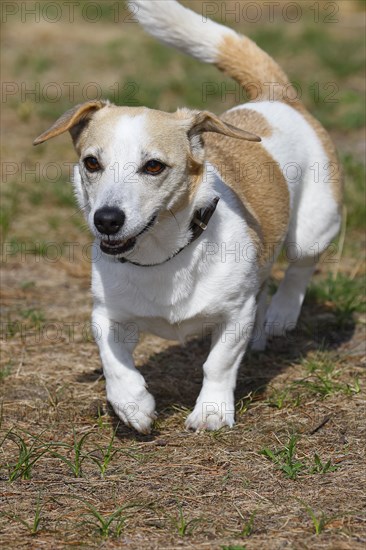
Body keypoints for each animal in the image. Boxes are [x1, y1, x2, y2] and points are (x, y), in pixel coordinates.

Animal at [33, 1, 342, 436]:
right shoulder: (107, 315)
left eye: (154, 166)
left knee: (299, 268)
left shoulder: (234, 313)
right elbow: (114, 362)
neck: (163, 255)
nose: (107, 219)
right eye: (91, 163)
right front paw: (133, 404)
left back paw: (281, 314)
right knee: (265, 282)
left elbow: (218, 363)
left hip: (313, 228)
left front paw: (212, 411)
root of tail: (275, 97)